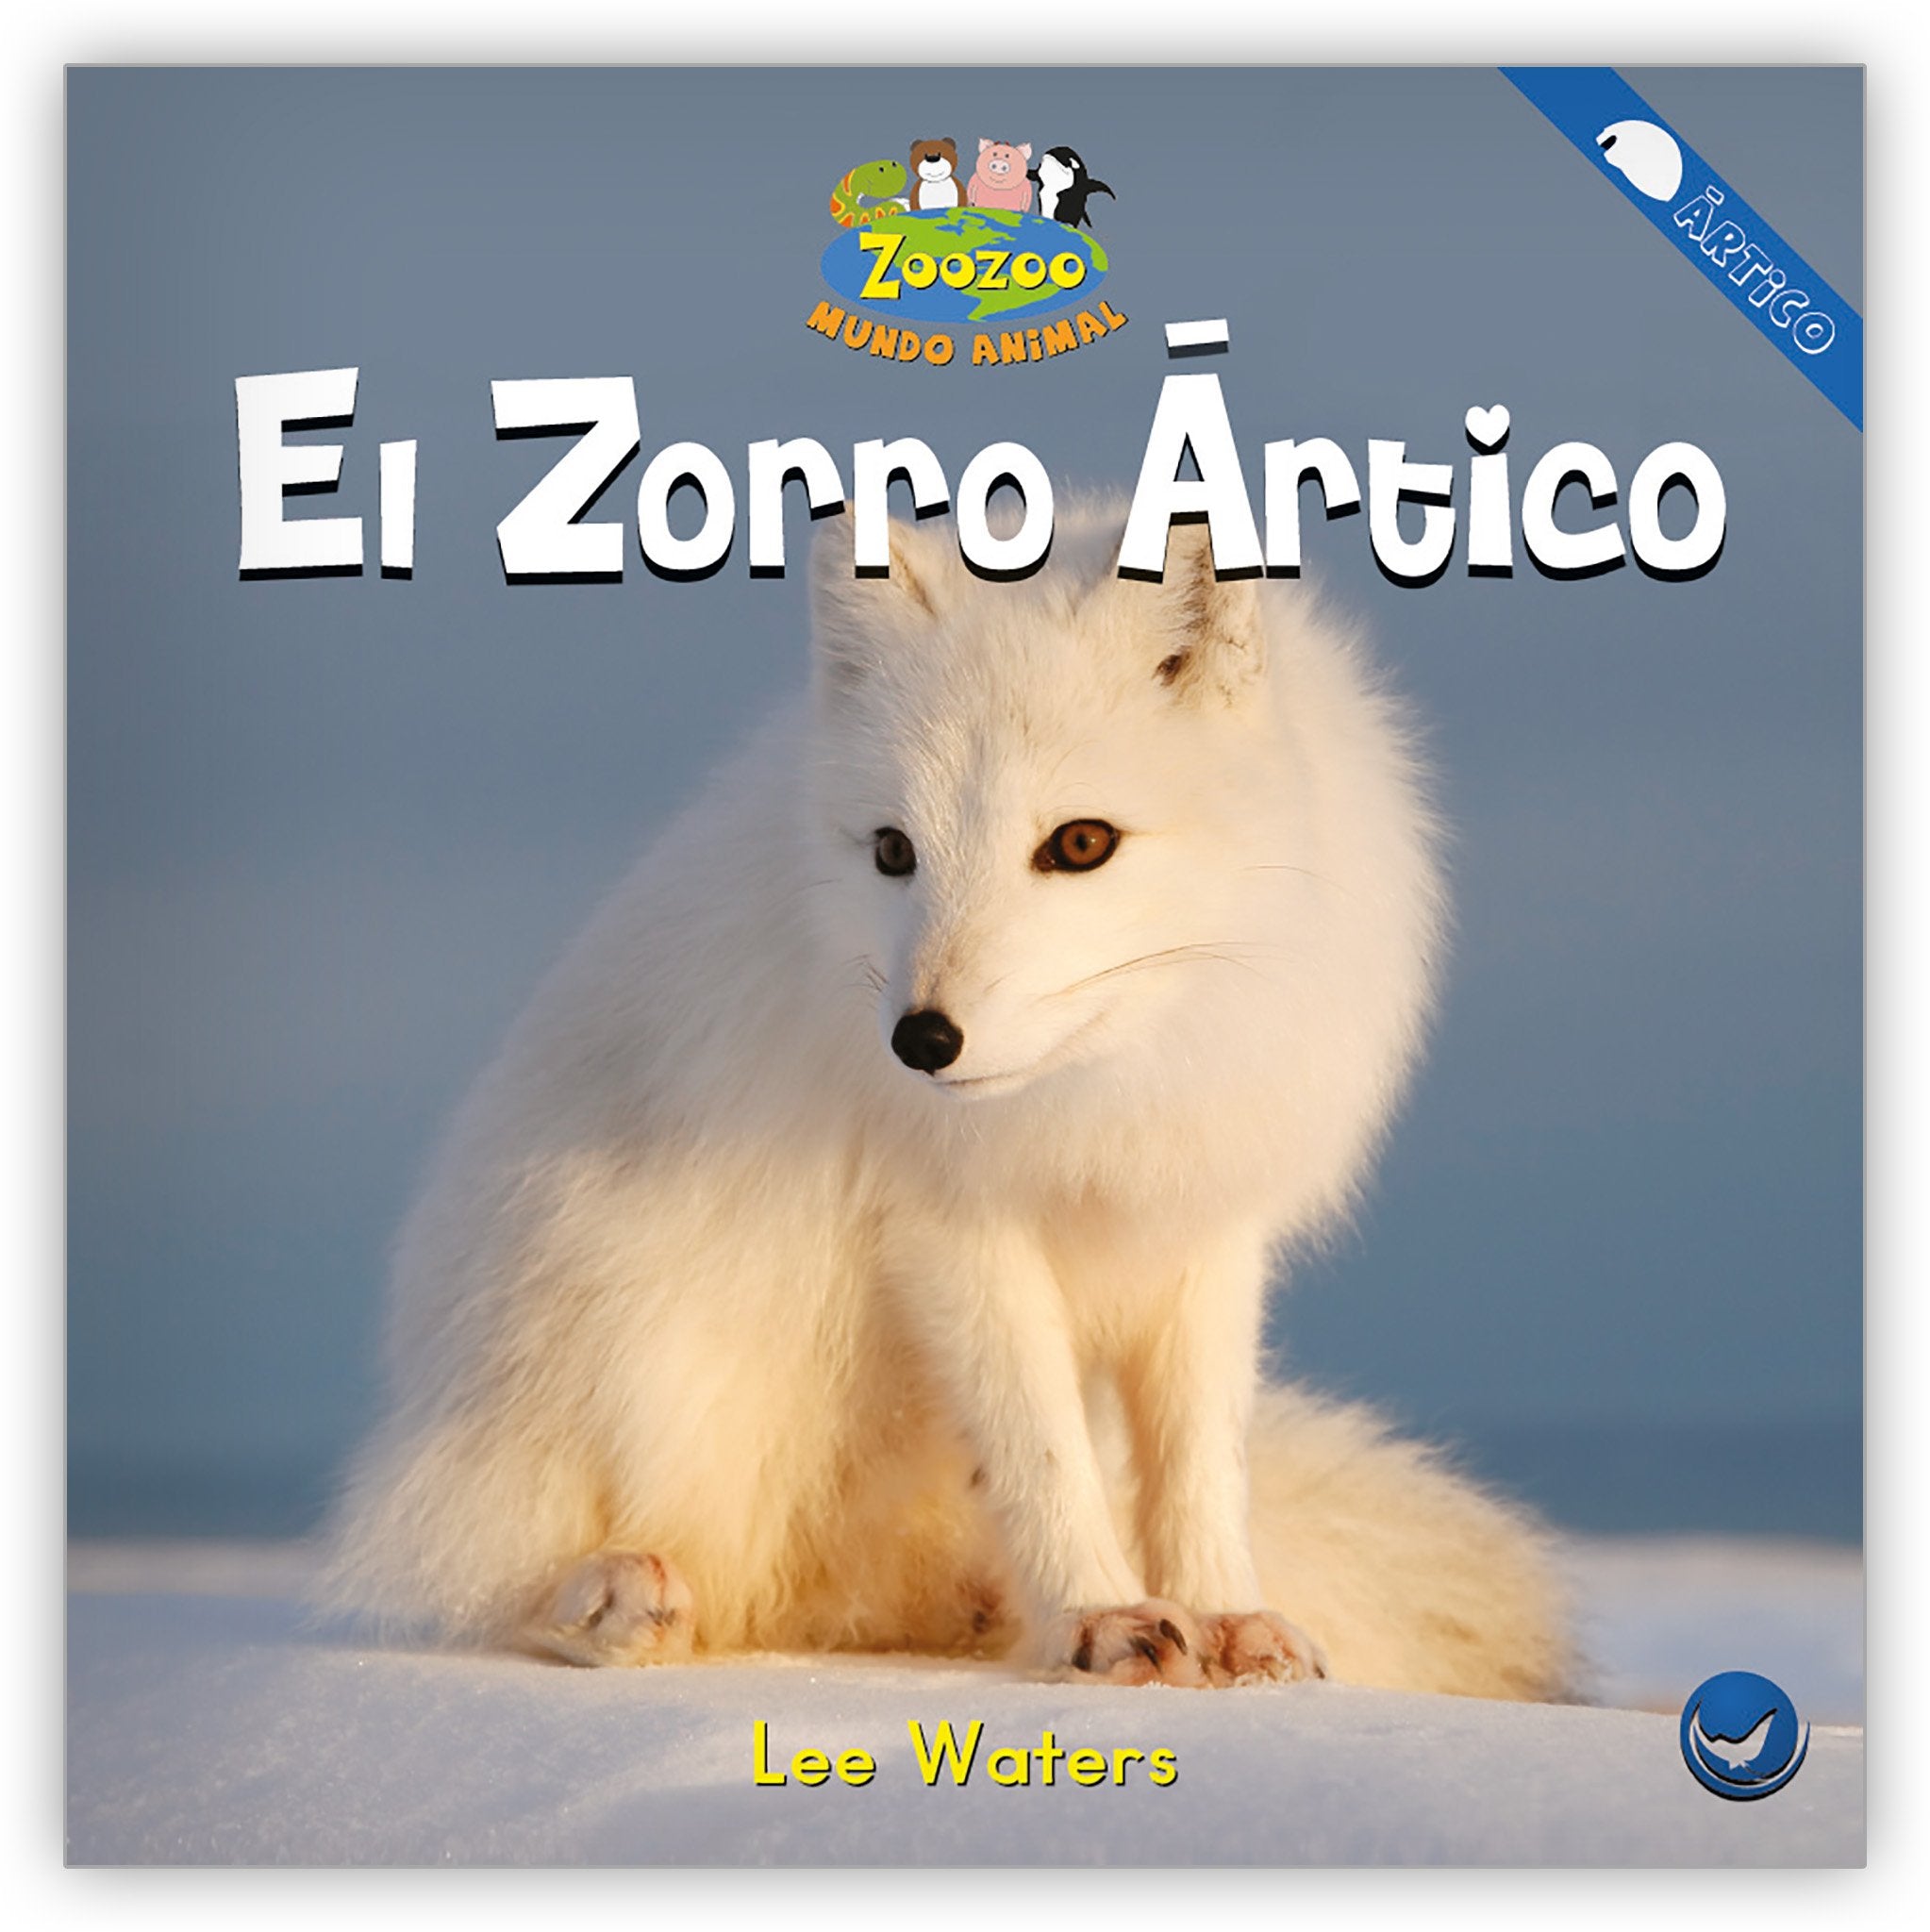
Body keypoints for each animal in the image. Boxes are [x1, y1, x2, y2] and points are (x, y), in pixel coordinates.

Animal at [324, 501, 1571, 1699]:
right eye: (892, 849)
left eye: (1081, 842)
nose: (921, 1041)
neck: (1098, 1095)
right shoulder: (949, 1229)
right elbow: (1043, 1448)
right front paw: (1100, 1616)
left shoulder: (1201, 1226)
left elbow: (1199, 1462)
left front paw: (1225, 1617)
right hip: (620, 1320)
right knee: (492, 1572)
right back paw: (614, 1596)